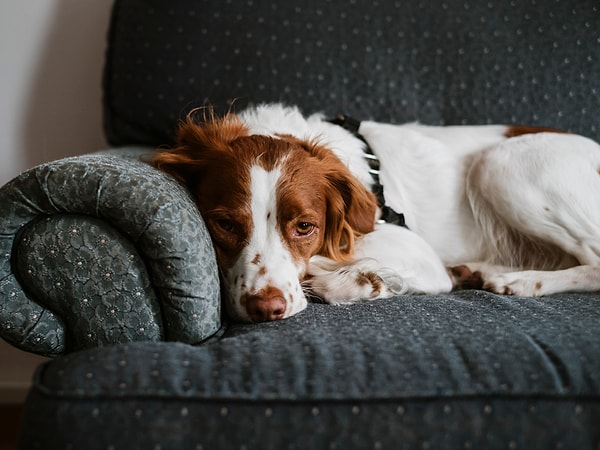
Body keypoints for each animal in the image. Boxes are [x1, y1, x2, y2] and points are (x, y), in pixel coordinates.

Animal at [154, 103, 600, 322]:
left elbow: (336, 264)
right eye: (225, 223)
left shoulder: (418, 252)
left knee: (594, 261)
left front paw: (355, 281)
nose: (267, 308)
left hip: (501, 164)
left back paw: (521, 282)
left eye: (305, 227)